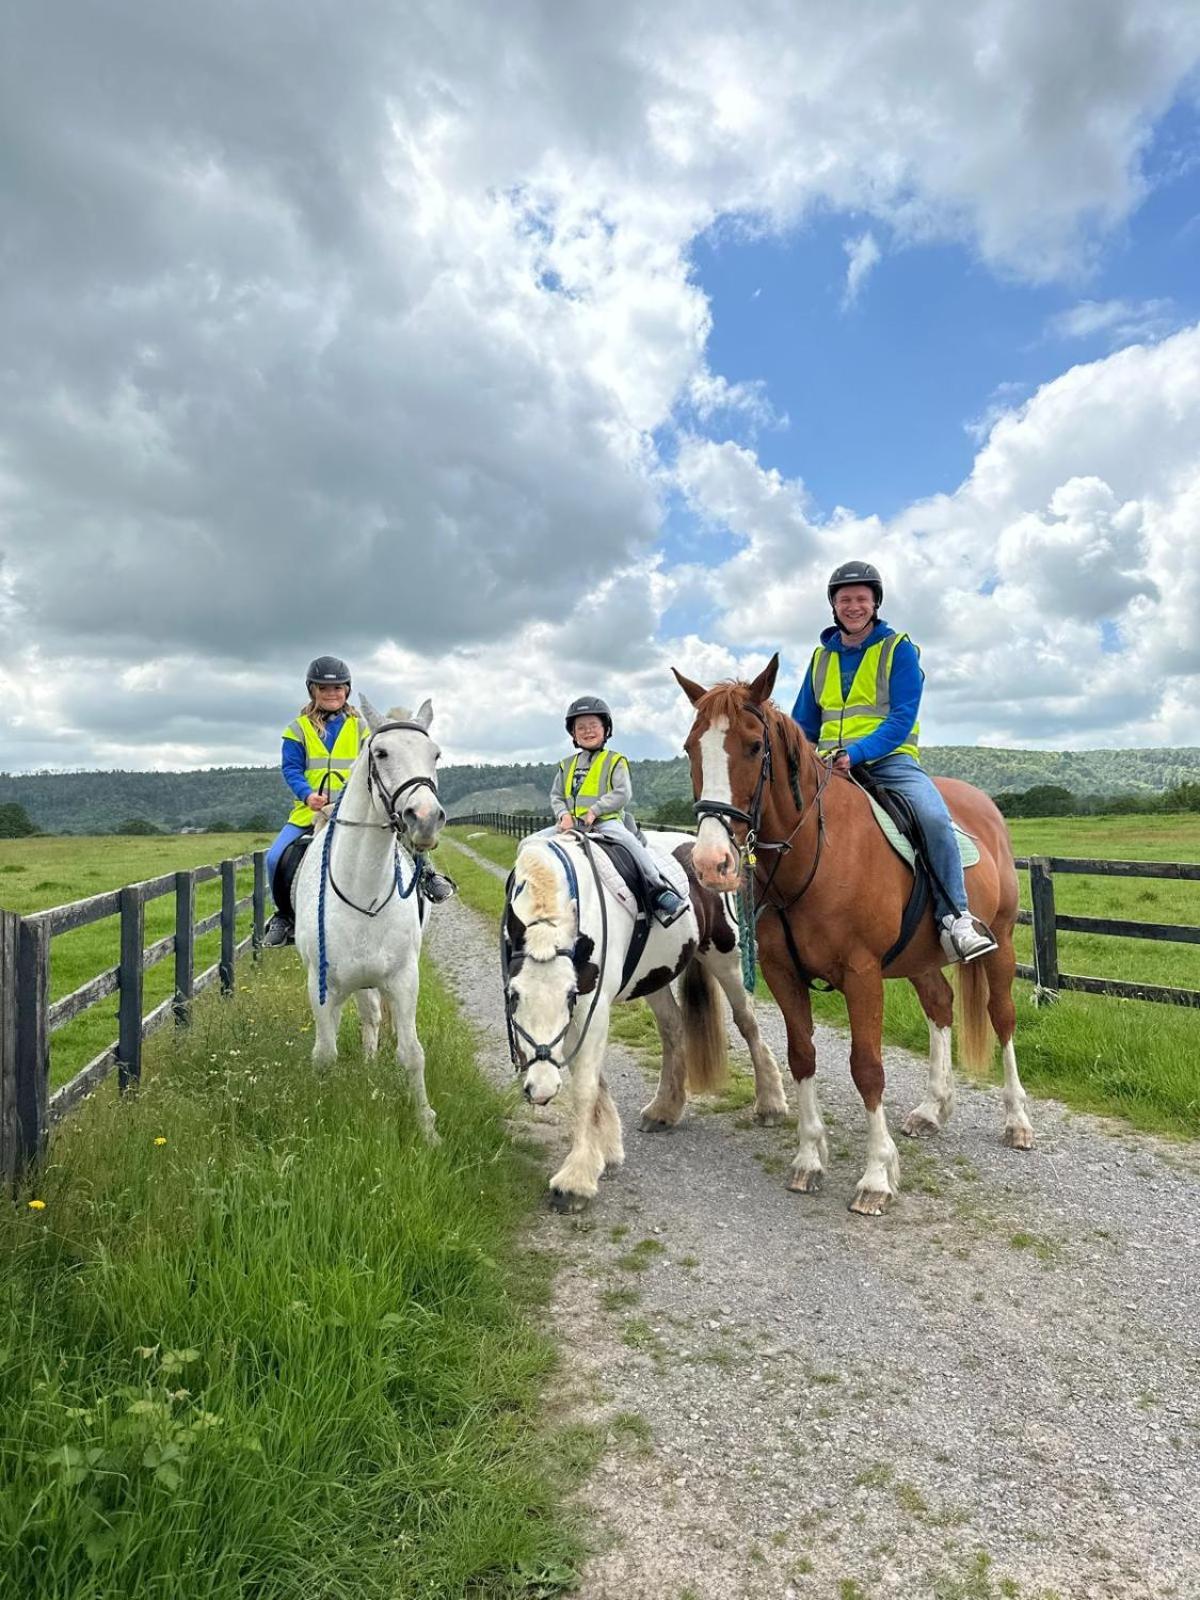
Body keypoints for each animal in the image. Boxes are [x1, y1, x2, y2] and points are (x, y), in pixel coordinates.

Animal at [294, 697, 448, 1139]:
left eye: (435, 755)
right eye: (380, 753)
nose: (424, 819)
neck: (362, 890)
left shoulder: (403, 979)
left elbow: (412, 1053)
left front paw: (427, 1128)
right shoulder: (321, 986)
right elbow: (324, 1054)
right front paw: (320, 1114)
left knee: (374, 1018)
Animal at [505, 832, 793, 1203]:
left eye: (569, 994)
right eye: (513, 994)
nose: (540, 1090)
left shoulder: (589, 1006)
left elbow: (584, 1086)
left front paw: (576, 1179)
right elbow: (593, 1079)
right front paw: (607, 1150)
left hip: (726, 958)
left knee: (748, 1025)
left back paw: (770, 1104)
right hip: (654, 977)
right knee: (673, 1028)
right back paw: (664, 1110)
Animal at [678, 649, 1036, 1209]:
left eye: (754, 746)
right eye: (692, 748)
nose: (711, 863)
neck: (816, 854)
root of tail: (987, 809)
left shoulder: (862, 975)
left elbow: (867, 1068)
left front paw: (875, 1177)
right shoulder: (783, 973)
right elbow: (801, 1056)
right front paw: (808, 1158)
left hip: (999, 947)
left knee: (1003, 1019)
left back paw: (1017, 1121)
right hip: (920, 958)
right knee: (941, 1005)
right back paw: (933, 1108)